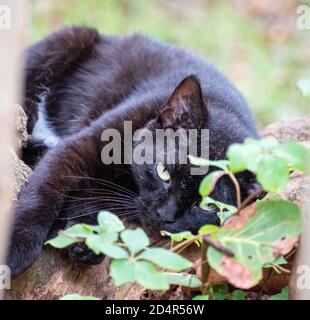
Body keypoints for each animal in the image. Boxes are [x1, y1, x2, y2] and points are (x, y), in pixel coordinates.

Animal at [7, 26, 260, 276]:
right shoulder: (79, 148)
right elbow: (44, 192)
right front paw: (14, 250)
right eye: (163, 172)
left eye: (207, 206)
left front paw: (89, 241)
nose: (165, 215)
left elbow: (94, 198)